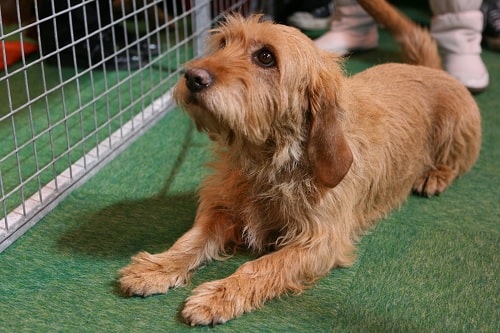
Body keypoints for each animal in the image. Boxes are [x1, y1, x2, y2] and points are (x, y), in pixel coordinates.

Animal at [117, 5, 480, 326]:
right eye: (222, 43)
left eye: (266, 57)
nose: (192, 77)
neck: (266, 162)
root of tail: (430, 69)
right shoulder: (221, 211)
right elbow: (190, 240)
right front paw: (157, 267)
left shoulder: (318, 241)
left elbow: (262, 267)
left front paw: (220, 295)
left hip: (456, 130)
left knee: (456, 162)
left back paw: (435, 175)